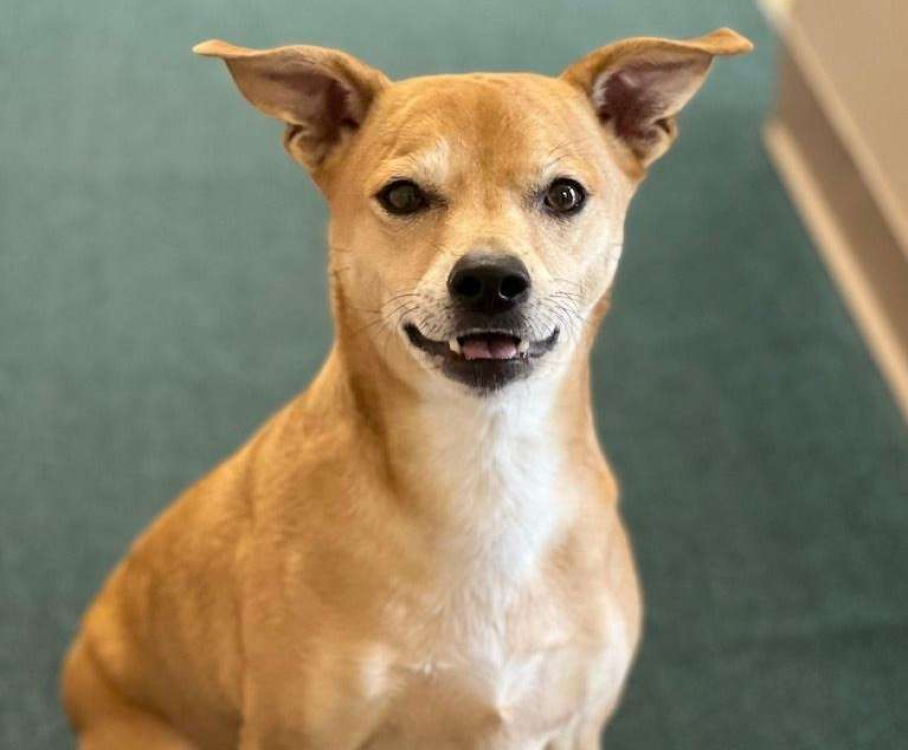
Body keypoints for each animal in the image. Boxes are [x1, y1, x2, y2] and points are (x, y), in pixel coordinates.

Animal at [62, 26, 752, 748]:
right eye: (402, 196)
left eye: (564, 195)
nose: (490, 280)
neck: (488, 469)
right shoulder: (297, 730)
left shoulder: (573, 724)